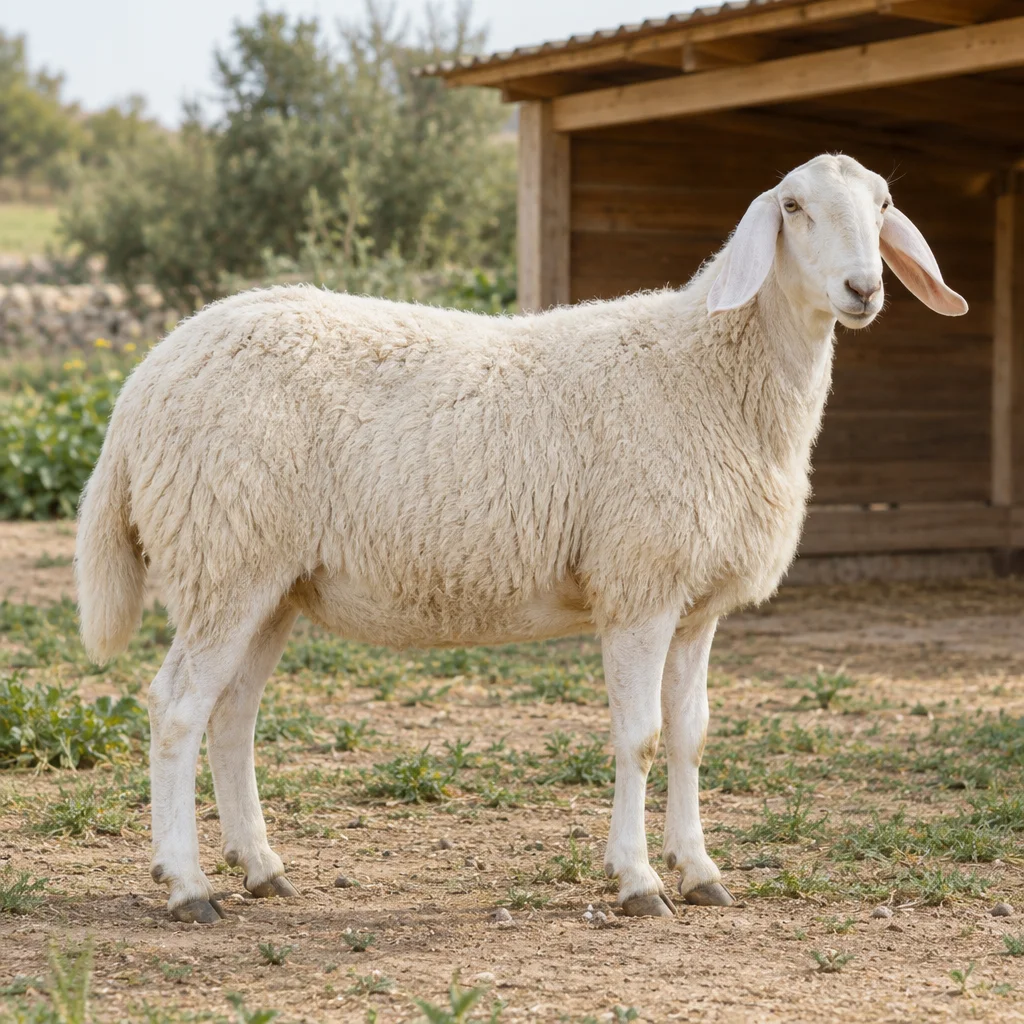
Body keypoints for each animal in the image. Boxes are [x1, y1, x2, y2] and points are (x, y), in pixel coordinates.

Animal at [75, 153, 967, 923]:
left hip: (270, 581)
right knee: (177, 709)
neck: (715, 375)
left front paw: (700, 871)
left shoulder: (697, 603)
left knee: (232, 717)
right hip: (223, 556)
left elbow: (690, 737)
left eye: (884, 204)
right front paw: (638, 881)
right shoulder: (639, 583)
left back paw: (262, 869)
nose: (863, 288)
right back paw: (188, 886)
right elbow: (640, 738)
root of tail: (143, 380)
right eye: (792, 207)